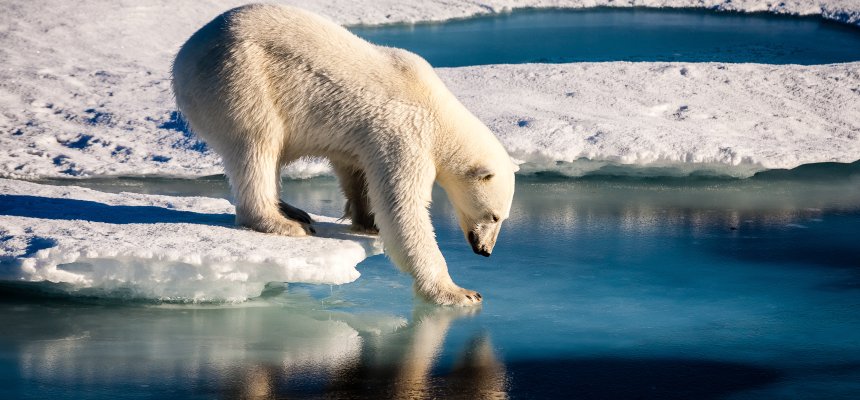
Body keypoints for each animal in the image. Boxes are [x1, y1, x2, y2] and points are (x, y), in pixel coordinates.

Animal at [172, 4, 517, 306]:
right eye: (494, 216)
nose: (485, 250)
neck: (438, 111)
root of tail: (184, 56)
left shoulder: (364, 138)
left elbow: (355, 171)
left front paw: (368, 221)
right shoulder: (405, 134)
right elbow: (403, 208)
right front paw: (459, 292)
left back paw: (293, 210)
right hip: (240, 79)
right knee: (257, 144)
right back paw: (283, 222)